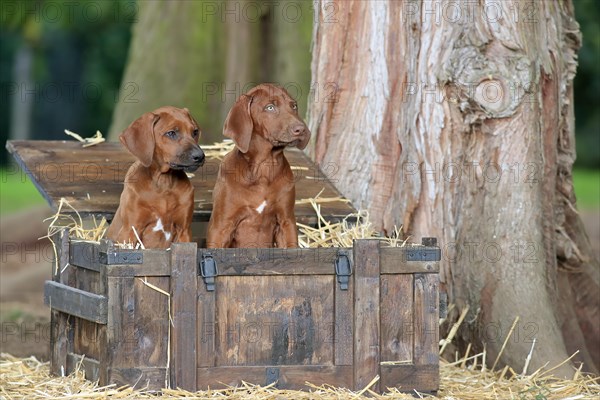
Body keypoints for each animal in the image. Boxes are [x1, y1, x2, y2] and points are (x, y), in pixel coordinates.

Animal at [105, 106, 204, 250]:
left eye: (195, 132)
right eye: (171, 133)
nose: (200, 156)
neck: (164, 183)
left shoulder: (184, 231)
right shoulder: (130, 230)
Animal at [206, 83, 310, 248]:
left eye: (293, 106)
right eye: (270, 107)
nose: (301, 129)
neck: (264, 167)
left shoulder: (286, 221)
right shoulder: (221, 226)